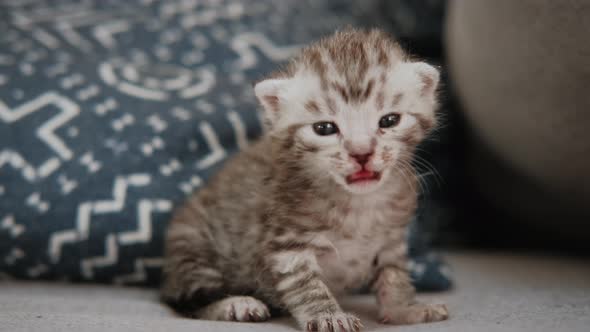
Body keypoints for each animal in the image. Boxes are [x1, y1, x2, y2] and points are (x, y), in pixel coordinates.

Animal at [162, 29, 448, 332]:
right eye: (324, 128)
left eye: (390, 120)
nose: (361, 153)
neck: (358, 204)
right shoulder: (288, 244)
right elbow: (307, 286)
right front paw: (328, 315)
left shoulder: (391, 240)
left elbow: (395, 277)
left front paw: (406, 310)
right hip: (194, 249)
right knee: (186, 299)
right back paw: (237, 304)